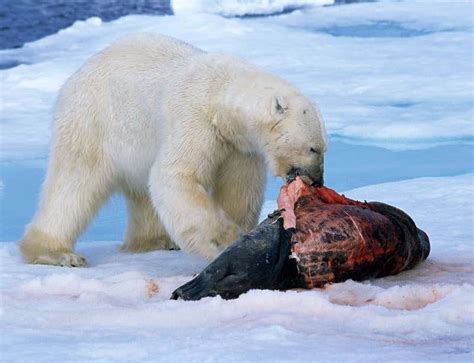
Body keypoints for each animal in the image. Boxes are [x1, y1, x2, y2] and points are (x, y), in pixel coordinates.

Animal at [20, 33, 328, 268]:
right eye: (313, 148)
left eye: (324, 147)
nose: (317, 180)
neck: (221, 95)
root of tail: (76, 75)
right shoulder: (195, 119)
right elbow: (176, 176)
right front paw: (224, 238)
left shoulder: (239, 145)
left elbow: (238, 190)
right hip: (93, 121)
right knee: (74, 183)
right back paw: (57, 253)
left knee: (141, 193)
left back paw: (154, 241)